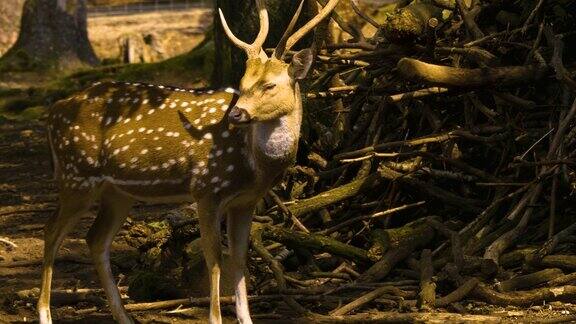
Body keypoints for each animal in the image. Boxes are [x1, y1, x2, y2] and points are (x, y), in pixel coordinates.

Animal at [38, 0, 340, 324]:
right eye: (242, 82)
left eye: (270, 85)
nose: (236, 114)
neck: (255, 166)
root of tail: (53, 112)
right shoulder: (206, 188)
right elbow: (214, 259)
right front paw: (216, 317)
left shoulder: (246, 200)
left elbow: (240, 258)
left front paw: (245, 318)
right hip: (76, 175)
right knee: (51, 231)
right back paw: (45, 313)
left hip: (117, 192)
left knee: (95, 239)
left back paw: (125, 317)